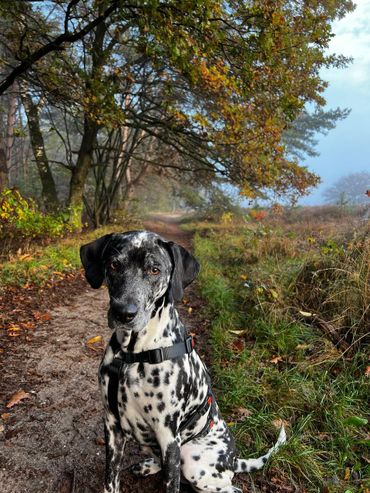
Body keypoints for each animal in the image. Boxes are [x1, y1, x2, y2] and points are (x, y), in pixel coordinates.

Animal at [79, 232, 284, 492]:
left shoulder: (168, 437)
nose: (123, 313)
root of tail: (234, 460)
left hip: (193, 463)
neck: (133, 355)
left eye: (155, 269)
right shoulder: (112, 426)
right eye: (114, 264)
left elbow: (171, 483)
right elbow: (110, 480)